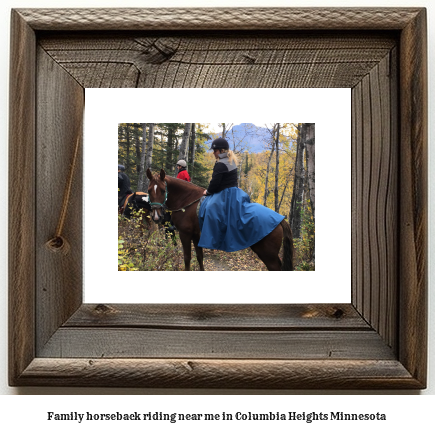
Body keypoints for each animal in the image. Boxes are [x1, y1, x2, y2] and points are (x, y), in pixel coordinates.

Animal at [148, 168, 294, 270]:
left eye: (163, 190)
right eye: (149, 190)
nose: (156, 216)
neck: (187, 201)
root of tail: (280, 219)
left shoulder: (185, 234)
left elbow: (187, 258)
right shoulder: (196, 236)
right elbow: (199, 257)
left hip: (268, 255)